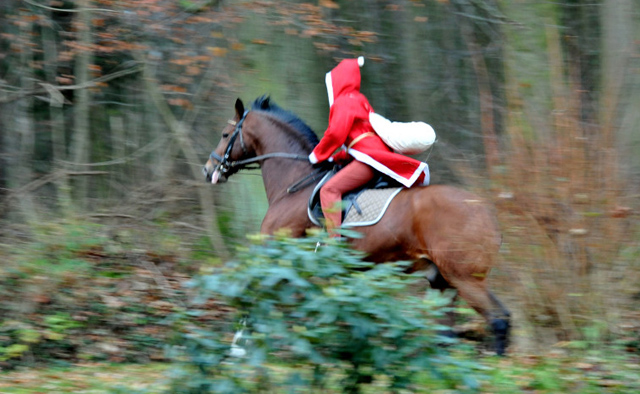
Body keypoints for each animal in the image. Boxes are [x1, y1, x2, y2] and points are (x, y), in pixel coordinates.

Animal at [202, 96, 512, 358]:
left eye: (225, 135)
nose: (208, 169)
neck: (295, 184)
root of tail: (486, 212)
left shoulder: (275, 256)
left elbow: (256, 294)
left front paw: (240, 345)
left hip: (464, 279)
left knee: (496, 321)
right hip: (444, 282)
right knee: (456, 331)